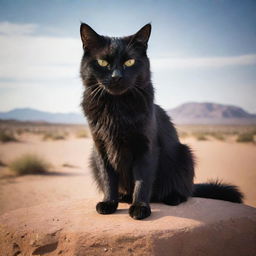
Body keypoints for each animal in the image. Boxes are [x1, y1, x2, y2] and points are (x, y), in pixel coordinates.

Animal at [79, 23, 243, 220]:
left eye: (129, 62)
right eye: (103, 62)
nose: (116, 76)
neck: (117, 107)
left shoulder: (146, 147)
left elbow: (142, 180)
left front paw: (140, 207)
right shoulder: (101, 147)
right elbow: (108, 178)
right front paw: (109, 202)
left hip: (184, 154)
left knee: (185, 191)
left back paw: (172, 197)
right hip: (92, 158)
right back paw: (124, 196)